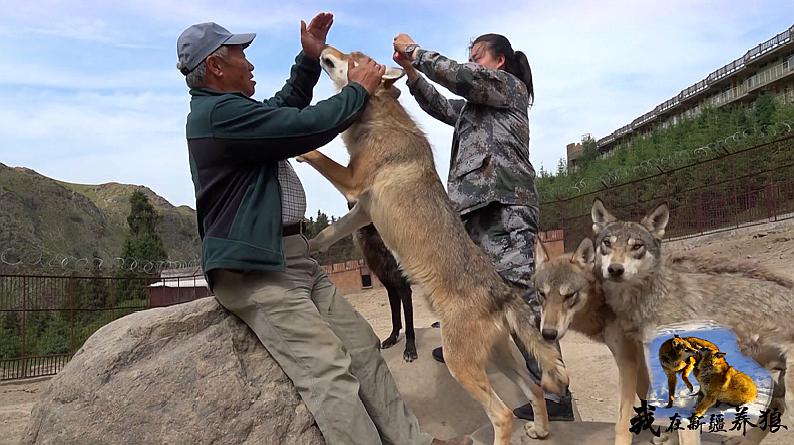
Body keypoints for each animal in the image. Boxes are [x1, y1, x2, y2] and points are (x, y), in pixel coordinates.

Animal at [296, 46, 564, 444]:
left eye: (352, 57)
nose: (326, 50)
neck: (378, 123)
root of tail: (501, 292)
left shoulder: (352, 183)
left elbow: (319, 154)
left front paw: (299, 148)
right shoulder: (361, 209)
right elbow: (327, 235)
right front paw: (305, 247)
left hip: (461, 364)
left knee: (502, 414)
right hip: (495, 357)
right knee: (534, 388)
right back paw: (540, 430)